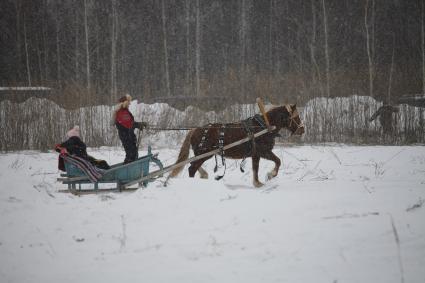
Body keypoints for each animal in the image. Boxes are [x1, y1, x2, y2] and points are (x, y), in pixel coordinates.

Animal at [167, 103, 304, 186]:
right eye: (296, 117)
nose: (302, 129)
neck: (263, 126)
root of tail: (194, 130)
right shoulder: (263, 152)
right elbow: (278, 161)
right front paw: (270, 175)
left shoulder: (256, 154)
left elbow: (256, 169)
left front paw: (257, 183)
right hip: (204, 153)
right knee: (192, 168)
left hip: (202, 154)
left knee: (192, 164)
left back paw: (203, 175)